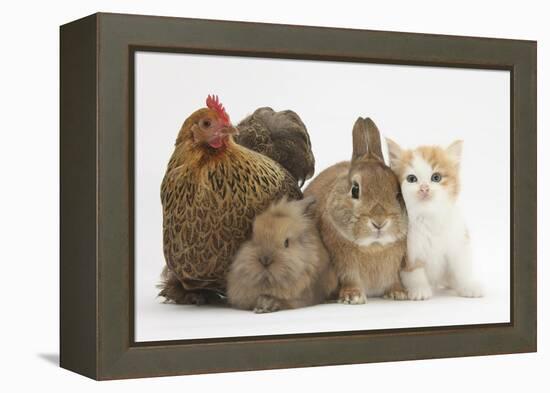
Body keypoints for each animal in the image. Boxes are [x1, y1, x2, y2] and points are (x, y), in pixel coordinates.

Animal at [306, 116, 410, 304]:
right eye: (355, 189)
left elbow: (393, 279)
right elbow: (350, 278)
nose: (379, 221)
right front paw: (352, 297)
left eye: (398, 193)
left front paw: (398, 293)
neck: (373, 247)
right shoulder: (344, 266)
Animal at [388, 139, 484, 298]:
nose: (424, 188)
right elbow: (414, 271)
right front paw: (419, 289)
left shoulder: (458, 240)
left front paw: (468, 286)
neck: (428, 217)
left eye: (436, 177)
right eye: (411, 179)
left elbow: (461, 266)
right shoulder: (408, 250)